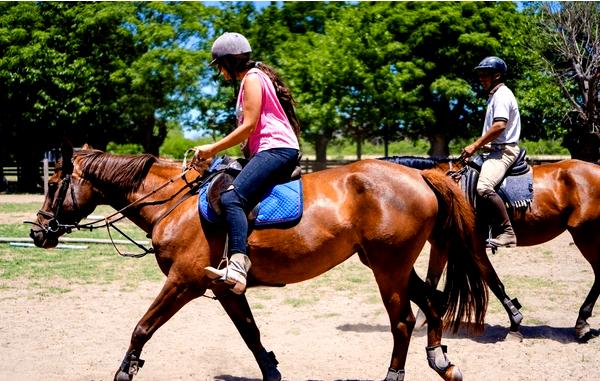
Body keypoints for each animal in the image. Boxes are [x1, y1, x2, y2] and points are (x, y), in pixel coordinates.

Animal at [30, 146, 488, 380]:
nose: (38, 233)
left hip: (387, 268)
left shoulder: (183, 281)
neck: (174, 204)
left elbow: (142, 327)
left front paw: (125, 371)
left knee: (404, 321)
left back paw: (396, 375)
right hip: (391, 264)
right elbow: (251, 334)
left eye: (52, 184)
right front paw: (271, 371)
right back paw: (442, 363)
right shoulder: (223, 288)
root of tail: (421, 175)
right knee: (433, 305)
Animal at [384, 156, 600, 340]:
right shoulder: (443, 244)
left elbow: (494, 282)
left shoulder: (473, 246)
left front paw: (515, 323)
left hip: (586, 235)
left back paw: (582, 323)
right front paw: (425, 318)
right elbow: (431, 281)